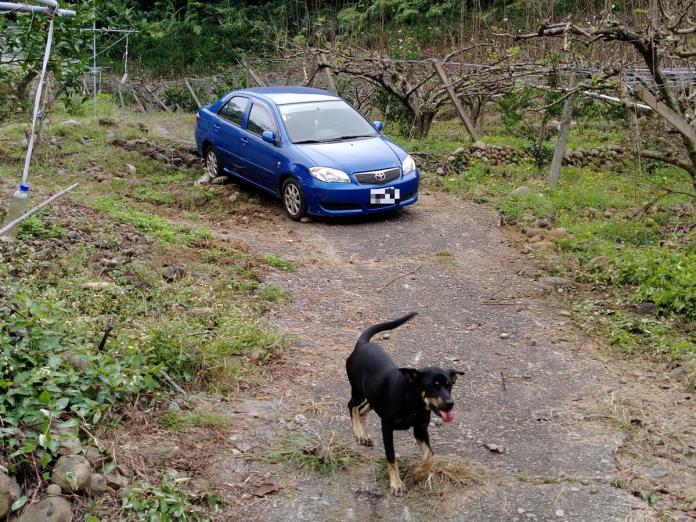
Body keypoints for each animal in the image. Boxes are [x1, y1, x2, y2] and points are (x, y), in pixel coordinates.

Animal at [346, 310, 464, 494]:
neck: (413, 403)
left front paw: (419, 474)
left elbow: (431, 456)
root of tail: (363, 344)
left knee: (361, 410)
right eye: (433, 386)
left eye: (449, 385)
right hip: (358, 391)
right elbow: (391, 457)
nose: (450, 403)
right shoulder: (387, 427)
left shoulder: (420, 430)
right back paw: (358, 432)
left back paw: (364, 435)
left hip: (373, 398)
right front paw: (396, 484)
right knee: (352, 406)